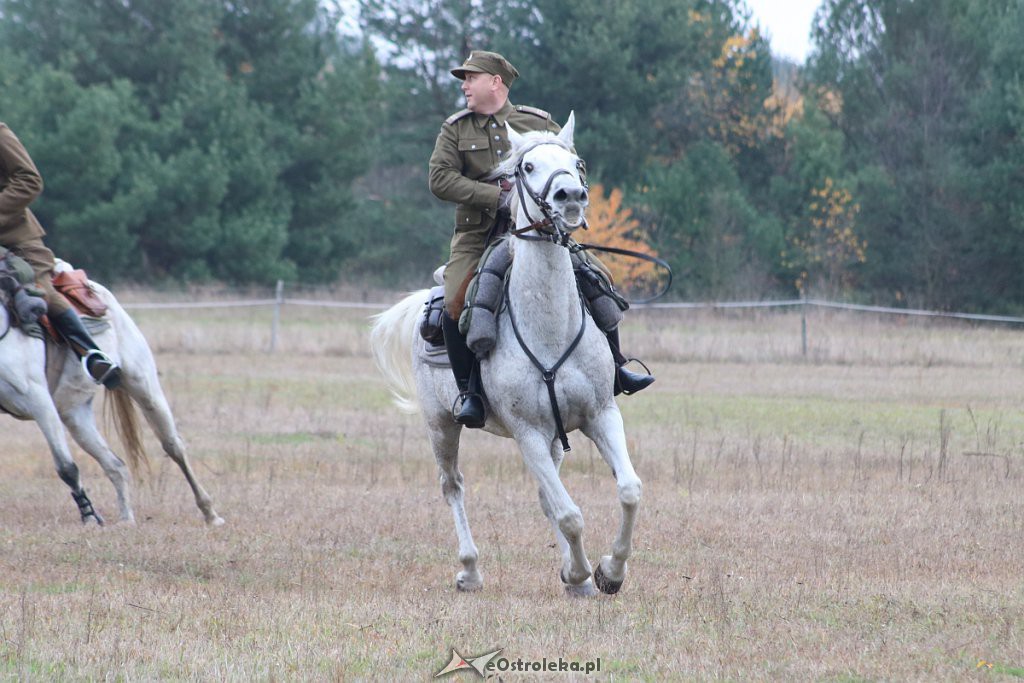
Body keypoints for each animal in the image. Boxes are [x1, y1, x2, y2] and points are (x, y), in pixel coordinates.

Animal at [0, 270, 223, 528]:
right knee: (115, 465)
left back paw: (210, 513)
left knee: (173, 447)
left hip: (144, 389)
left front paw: (89, 518)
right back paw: (126, 519)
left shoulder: (39, 402)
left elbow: (66, 468)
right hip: (75, 414)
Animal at [368, 114, 638, 593]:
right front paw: (583, 571)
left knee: (546, 496)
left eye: (576, 162)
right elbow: (570, 514)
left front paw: (606, 572)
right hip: (440, 425)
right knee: (453, 486)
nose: (571, 197)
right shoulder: (527, 432)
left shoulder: (601, 414)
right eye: (526, 167)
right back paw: (471, 570)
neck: (550, 328)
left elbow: (627, 490)